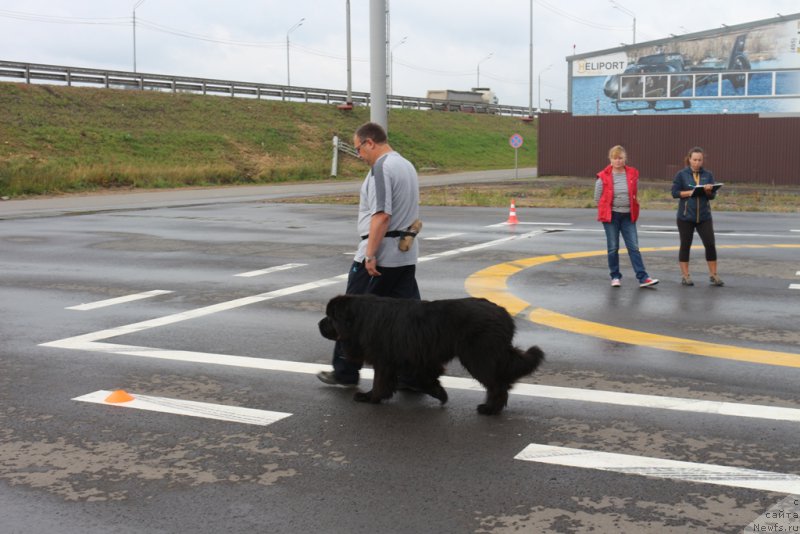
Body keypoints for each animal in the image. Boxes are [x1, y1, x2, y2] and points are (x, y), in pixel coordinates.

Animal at [318, 296, 544, 416]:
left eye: (330, 317)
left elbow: (380, 381)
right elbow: (426, 377)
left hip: (478, 356)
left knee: (497, 383)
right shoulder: (418, 356)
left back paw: (490, 409)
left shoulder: (384, 359)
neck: (361, 319)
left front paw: (370, 397)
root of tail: (504, 314)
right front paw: (438, 392)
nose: (319, 324)